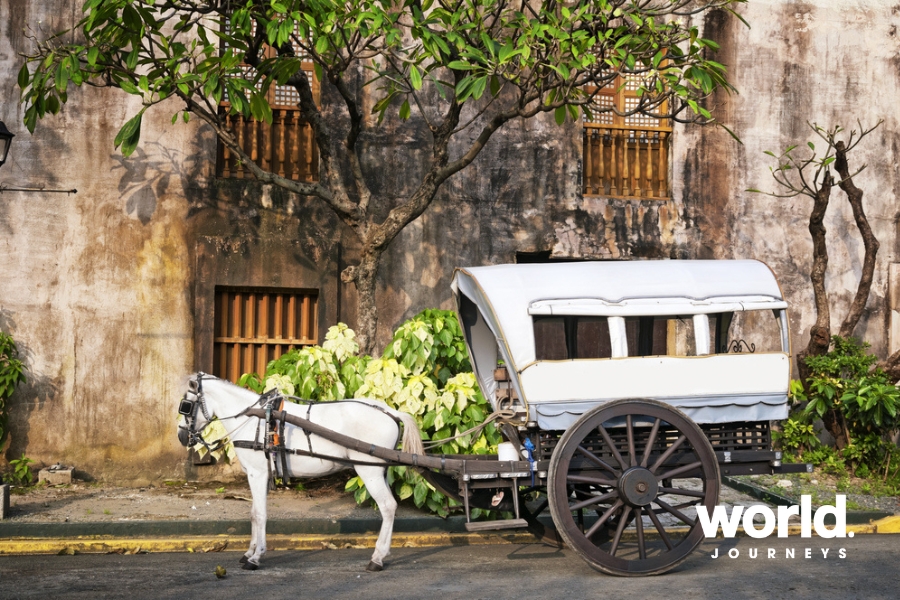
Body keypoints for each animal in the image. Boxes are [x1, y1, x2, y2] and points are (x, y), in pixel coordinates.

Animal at [179, 370, 426, 572]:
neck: (255, 418)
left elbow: (260, 514)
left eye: (186, 406)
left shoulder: (258, 474)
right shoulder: (259, 474)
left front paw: (256, 557)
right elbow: (253, 512)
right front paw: (249, 552)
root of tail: (390, 412)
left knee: (388, 506)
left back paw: (377, 558)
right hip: (377, 470)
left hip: (368, 471)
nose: (182, 436)